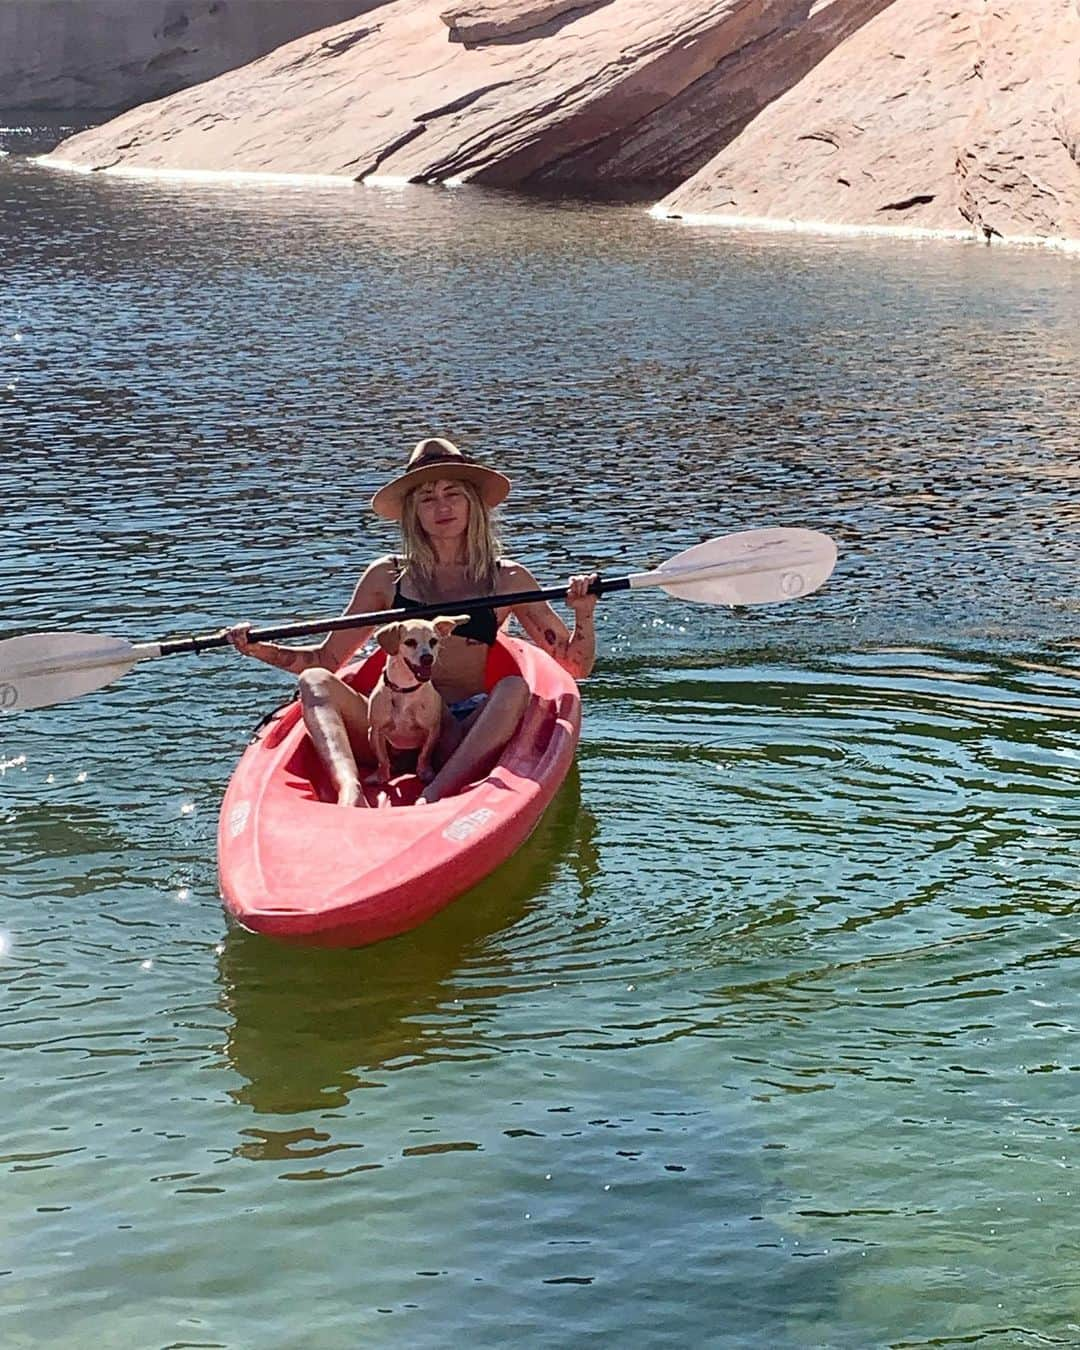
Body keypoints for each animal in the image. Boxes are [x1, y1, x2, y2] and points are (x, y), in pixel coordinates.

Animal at [367, 618, 467, 788]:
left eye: (433, 641)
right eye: (410, 642)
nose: (427, 658)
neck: (405, 689)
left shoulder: (432, 730)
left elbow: (424, 754)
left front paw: (424, 772)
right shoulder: (376, 730)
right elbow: (382, 759)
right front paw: (380, 776)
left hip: (449, 738)